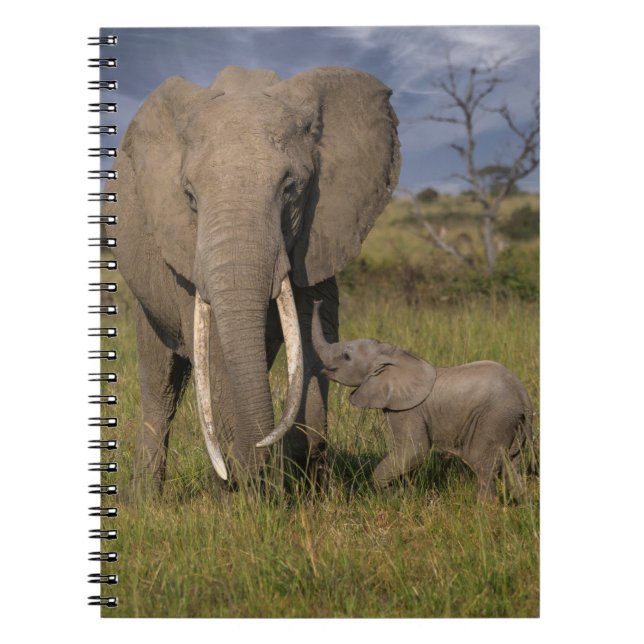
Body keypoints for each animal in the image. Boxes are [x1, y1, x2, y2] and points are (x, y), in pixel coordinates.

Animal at [103, 65, 400, 493]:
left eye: (291, 189)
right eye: (189, 196)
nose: (265, 455)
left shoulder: (318, 233)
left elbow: (314, 339)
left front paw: (307, 488)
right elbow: (214, 354)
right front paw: (245, 496)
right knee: (161, 384)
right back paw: (148, 500)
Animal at [311, 301, 533, 501]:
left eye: (346, 356)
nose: (317, 300)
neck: (394, 356)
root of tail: (523, 394)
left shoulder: (409, 409)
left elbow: (414, 449)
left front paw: (390, 495)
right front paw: (402, 494)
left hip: (494, 418)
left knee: (483, 464)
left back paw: (484, 509)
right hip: (513, 422)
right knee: (512, 464)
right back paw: (520, 504)